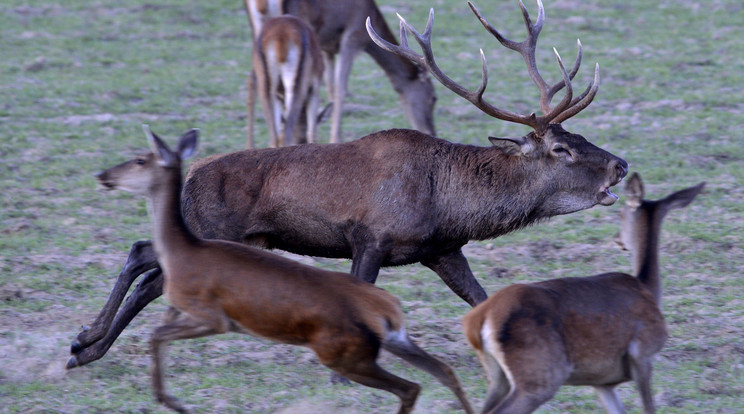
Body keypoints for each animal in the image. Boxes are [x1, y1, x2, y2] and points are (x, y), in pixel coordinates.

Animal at [96, 125, 474, 414]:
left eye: (141, 160)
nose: (103, 175)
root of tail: (193, 171)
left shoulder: (437, 252)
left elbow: (475, 295)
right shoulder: (374, 241)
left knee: (145, 262)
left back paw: (91, 343)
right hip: (214, 232)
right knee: (145, 262)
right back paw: (91, 343)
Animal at [254, 14, 324, 147]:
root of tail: (281, 33)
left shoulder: (279, 96)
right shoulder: (314, 91)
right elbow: (312, 132)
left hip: (267, 88)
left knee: (275, 136)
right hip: (295, 88)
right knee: (287, 131)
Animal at [462, 172, 708, 414]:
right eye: (620, 214)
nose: (617, 239)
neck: (647, 288)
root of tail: (480, 319)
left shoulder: (603, 381)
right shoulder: (643, 352)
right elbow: (648, 408)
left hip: (498, 377)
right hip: (539, 374)